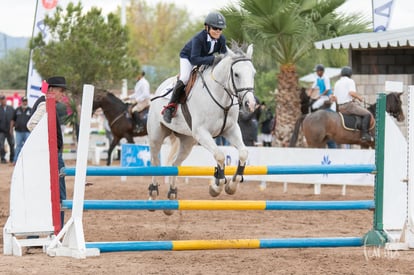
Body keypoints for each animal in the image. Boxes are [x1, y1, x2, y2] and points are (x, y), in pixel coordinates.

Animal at [146, 44, 256, 211]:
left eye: (253, 73)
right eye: (236, 74)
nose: (250, 104)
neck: (221, 98)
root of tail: (159, 88)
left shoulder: (230, 130)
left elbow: (243, 153)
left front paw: (231, 185)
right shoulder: (202, 133)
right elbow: (220, 155)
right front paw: (217, 187)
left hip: (187, 141)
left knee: (175, 164)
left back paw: (172, 196)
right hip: (156, 136)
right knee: (155, 162)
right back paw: (153, 195)